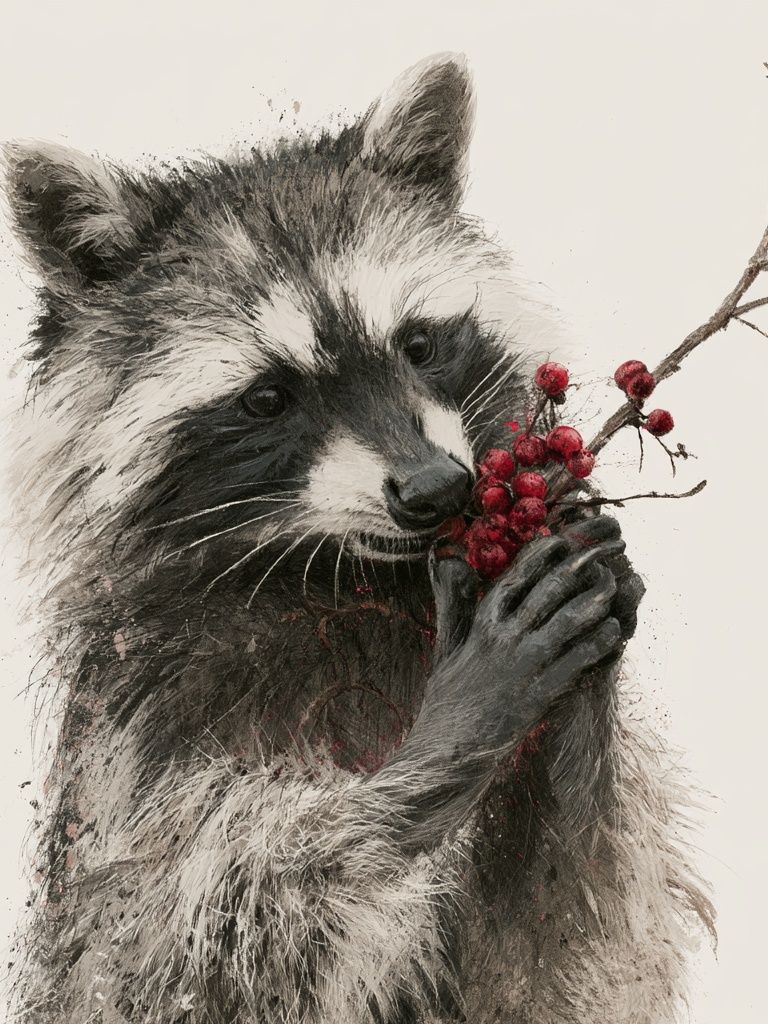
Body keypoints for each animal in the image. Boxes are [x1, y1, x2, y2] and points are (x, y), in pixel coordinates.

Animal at [2, 53, 713, 1024]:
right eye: (268, 396)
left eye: (418, 344)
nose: (436, 490)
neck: (344, 583)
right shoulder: (135, 746)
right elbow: (182, 946)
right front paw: (459, 724)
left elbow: (563, 946)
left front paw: (578, 685)